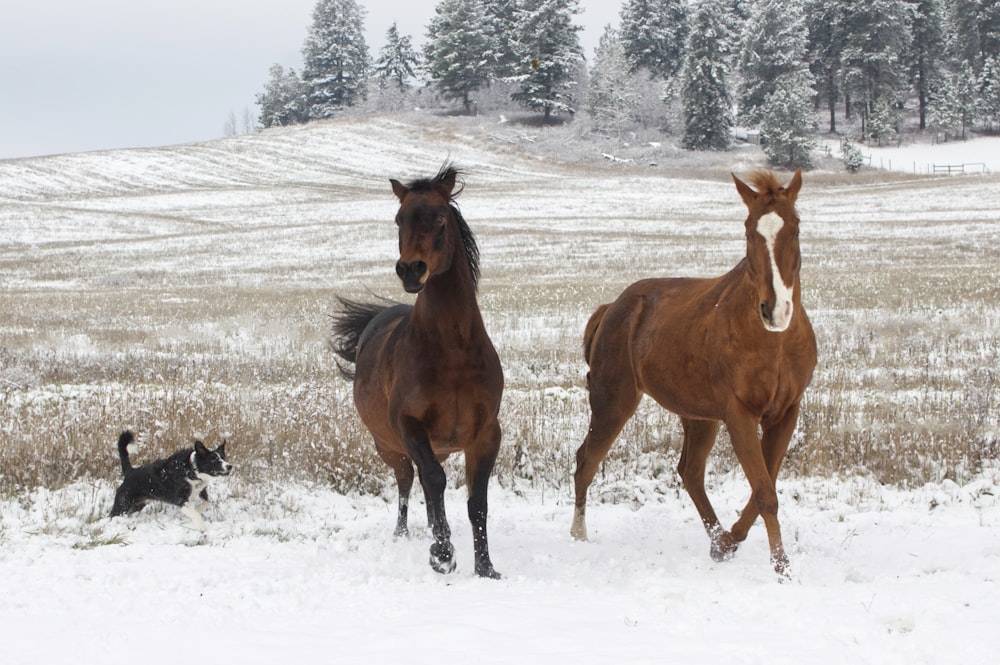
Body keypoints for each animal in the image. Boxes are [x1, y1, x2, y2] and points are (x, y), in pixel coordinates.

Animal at [332, 162, 504, 576]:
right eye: (399, 219)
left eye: (440, 218)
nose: (411, 270)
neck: (453, 351)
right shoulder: (409, 427)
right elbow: (434, 479)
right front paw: (442, 553)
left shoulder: (487, 433)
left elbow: (477, 501)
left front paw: (486, 567)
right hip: (388, 446)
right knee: (410, 481)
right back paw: (407, 534)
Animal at [576, 171, 816, 576]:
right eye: (749, 231)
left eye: (795, 228)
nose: (775, 310)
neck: (775, 343)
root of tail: (612, 307)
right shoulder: (739, 415)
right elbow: (765, 492)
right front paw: (781, 566)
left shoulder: (785, 413)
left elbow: (764, 485)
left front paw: (730, 542)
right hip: (613, 404)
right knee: (586, 462)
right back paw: (578, 536)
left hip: (698, 416)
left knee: (689, 472)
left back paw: (718, 539)